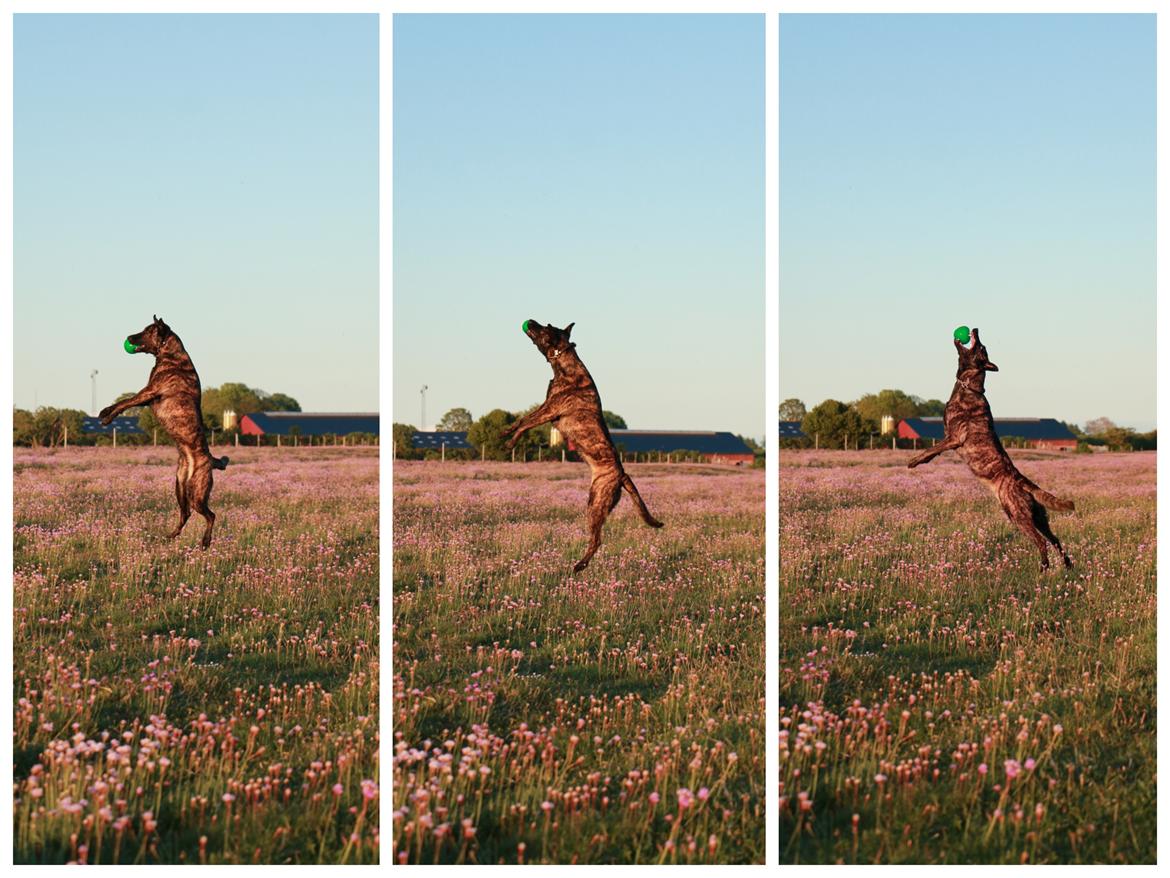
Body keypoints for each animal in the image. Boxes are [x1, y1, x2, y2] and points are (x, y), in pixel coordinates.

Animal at [98, 316, 228, 550]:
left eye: (147, 331)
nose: (129, 338)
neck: (170, 353)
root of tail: (211, 460)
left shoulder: (148, 392)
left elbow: (125, 402)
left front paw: (106, 415)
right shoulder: (147, 396)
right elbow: (125, 401)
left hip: (197, 492)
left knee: (210, 515)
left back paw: (205, 542)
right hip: (180, 487)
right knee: (185, 514)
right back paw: (171, 535)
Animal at [907, 327, 1071, 571]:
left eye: (981, 347)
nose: (974, 329)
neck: (969, 387)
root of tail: (1022, 481)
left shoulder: (954, 437)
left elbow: (931, 449)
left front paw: (914, 461)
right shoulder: (949, 437)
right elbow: (933, 451)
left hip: (1018, 515)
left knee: (1041, 542)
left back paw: (1043, 568)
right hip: (1039, 518)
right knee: (1056, 540)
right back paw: (1068, 565)